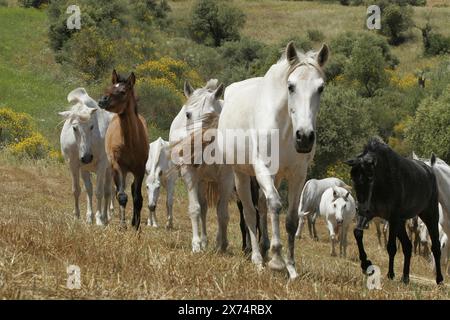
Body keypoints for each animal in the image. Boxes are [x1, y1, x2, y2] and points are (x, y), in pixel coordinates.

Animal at [59, 87, 114, 225]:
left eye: (92, 126)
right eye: (74, 128)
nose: (87, 157)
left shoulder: (101, 166)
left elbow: (99, 192)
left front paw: (99, 219)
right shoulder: (73, 165)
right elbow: (76, 190)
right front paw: (77, 216)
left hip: (109, 170)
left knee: (107, 191)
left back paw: (106, 216)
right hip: (85, 170)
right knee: (89, 190)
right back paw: (89, 217)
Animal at [97, 70, 149, 230]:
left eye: (122, 91)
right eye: (109, 87)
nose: (102, 101)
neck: (130, 143)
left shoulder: (140, 169)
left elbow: (138, 198)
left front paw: (136, 226)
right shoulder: (118, 166)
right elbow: (121, 196)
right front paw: (122, 225)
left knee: (132, 190)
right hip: (120, 170)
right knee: (120, 191)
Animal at [170, 79, 236, 252]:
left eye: (212, 116)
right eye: (188, 115)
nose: (196, 150)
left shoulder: (227, 178)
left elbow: (222, 213)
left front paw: (222, 244)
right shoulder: (189, 174)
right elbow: (195, 209)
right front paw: (196, 245)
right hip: (201, 180)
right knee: (204, 208)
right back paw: (204, 241)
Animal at [216, 42, 328, 278]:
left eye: (320, 88)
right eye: (291, 86)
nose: (304, 137)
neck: (285, 127)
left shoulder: (297, 174)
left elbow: (291, 219)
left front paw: (291, 266)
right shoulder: (263, 169)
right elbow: (275, 205)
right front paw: (277, 260)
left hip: (273, 177)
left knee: (261, 205)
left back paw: (265, 248)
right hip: (241, 175)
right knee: (250, 212)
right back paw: (258, 258)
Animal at [344, 138, 442, 284]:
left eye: (370, 177)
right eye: (353, 177)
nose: (360, 208)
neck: (382, 183)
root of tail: (429, 171)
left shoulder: (393, 217)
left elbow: (391, 247)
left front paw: (390, 274)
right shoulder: (370, 214)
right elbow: (357, 233)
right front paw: (366, 264)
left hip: (429, 215)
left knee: (435, 246)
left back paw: (439, 279)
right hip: (401, 222)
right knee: (407, 246)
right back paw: (405, 278)